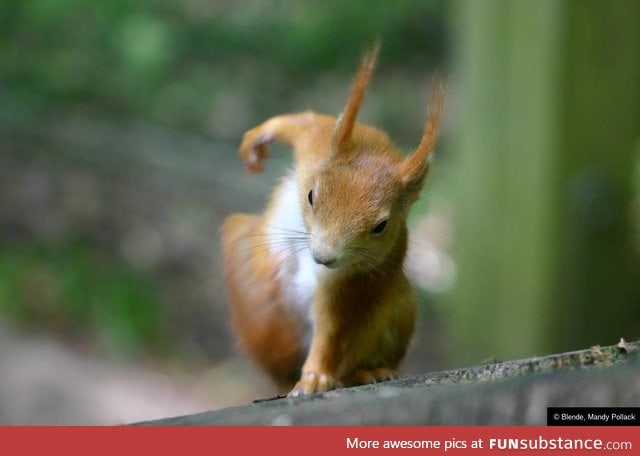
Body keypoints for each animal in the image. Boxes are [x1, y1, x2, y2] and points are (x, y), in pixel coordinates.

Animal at [220, 44, 444, 398]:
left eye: (381, 226)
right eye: (311, 195)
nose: (324, 257)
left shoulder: (350, 283)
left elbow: (332, 331)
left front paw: (314, 377)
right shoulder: (321, 142)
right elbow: (304, 123)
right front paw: (257, 140)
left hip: (400, 308)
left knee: (348, 363)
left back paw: (368, 372)